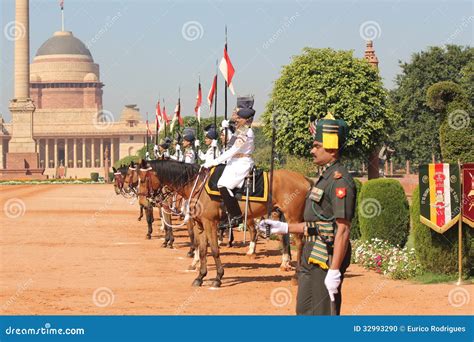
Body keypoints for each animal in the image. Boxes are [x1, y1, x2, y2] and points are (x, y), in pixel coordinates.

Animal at [137, 159, 310, 288]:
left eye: (143, 179)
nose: (143, 201)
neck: (196, 185)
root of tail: (305, 179)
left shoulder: (210, 223)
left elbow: (214, 250)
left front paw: (218, 278)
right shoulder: (200, 225)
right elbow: (202, 250)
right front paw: (200, 276)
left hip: (293, 218)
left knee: (300, 243)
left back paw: (296, 275)